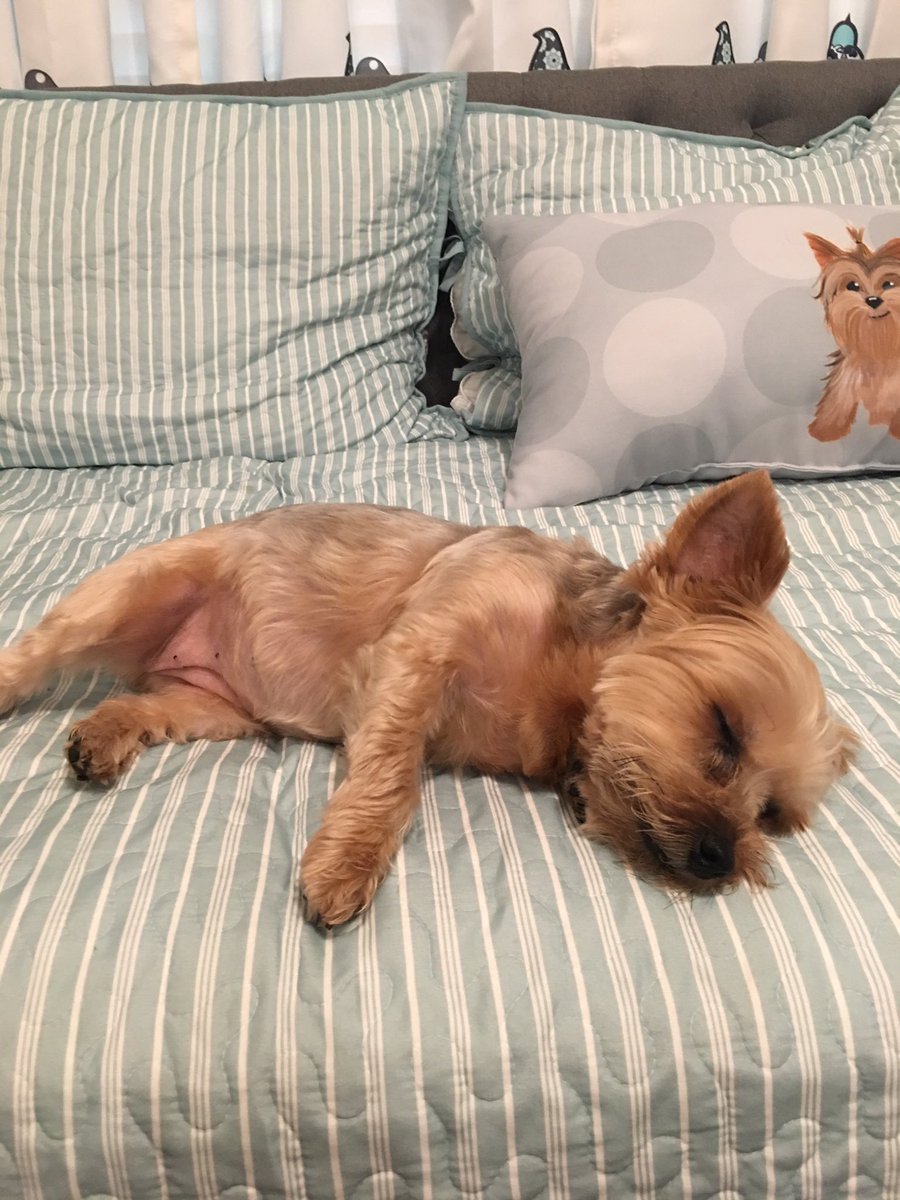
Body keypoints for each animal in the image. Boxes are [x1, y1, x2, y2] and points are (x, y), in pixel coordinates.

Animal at [0, 472, 855, 925]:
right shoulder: (421, 648)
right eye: (723, 728)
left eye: (771, 816)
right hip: (130, 592)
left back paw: (103, 736)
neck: (556, 682)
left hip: (213, 708)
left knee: (149, 706)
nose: (719, 857)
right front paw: (346, 863)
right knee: (31, 656)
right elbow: (391, 775)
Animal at [805, 224, 900, 442]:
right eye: (852, 286)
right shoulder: (844, 384)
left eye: (888, 284)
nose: (873, 300)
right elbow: (836, 404)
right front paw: (825, 431)